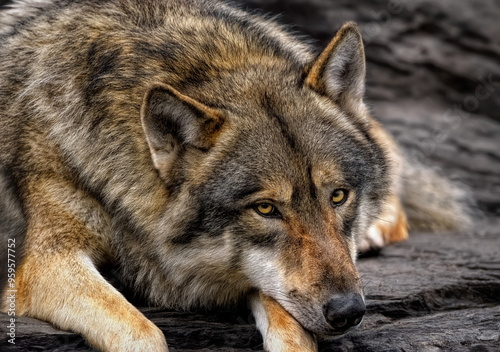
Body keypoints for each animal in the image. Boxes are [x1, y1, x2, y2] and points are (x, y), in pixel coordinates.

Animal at [0, 0, 474, 350]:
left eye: (338, 196)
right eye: (265, 209)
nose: (348, 311)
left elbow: (291, 330)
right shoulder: (47, 263)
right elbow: (143, 333)